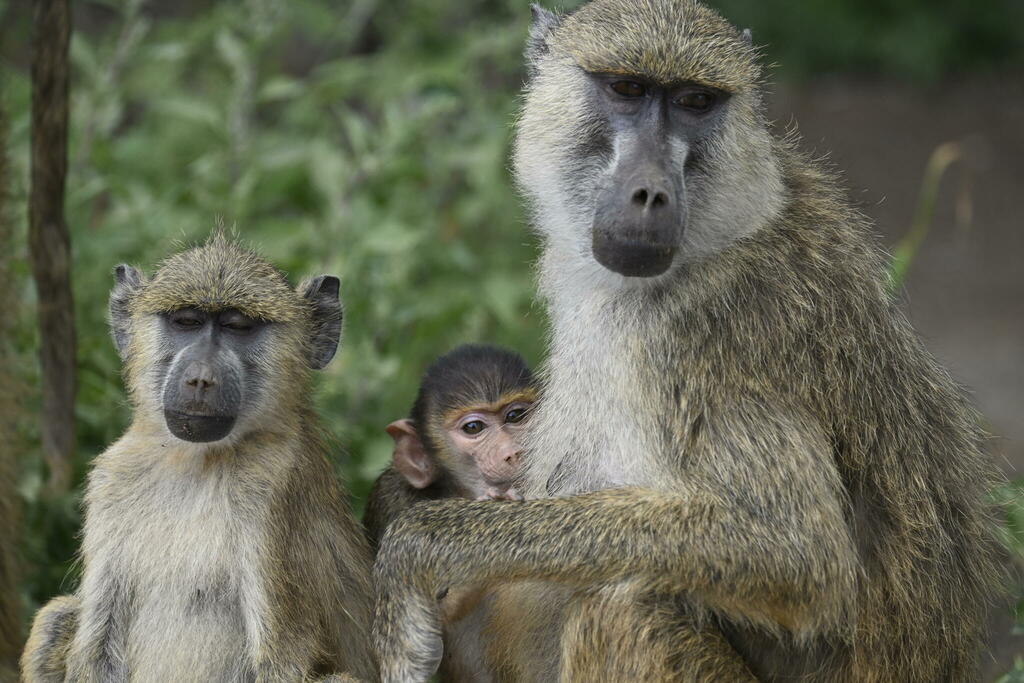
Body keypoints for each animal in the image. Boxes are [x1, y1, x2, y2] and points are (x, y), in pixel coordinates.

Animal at [21, 232, 376, 682]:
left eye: (238, 327)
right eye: (186, 322)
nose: (200, 379)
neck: (194, 460)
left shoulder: (274, 494)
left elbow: (282, 661)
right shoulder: (113, 479)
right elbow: (95, 653)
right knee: (57, 617)